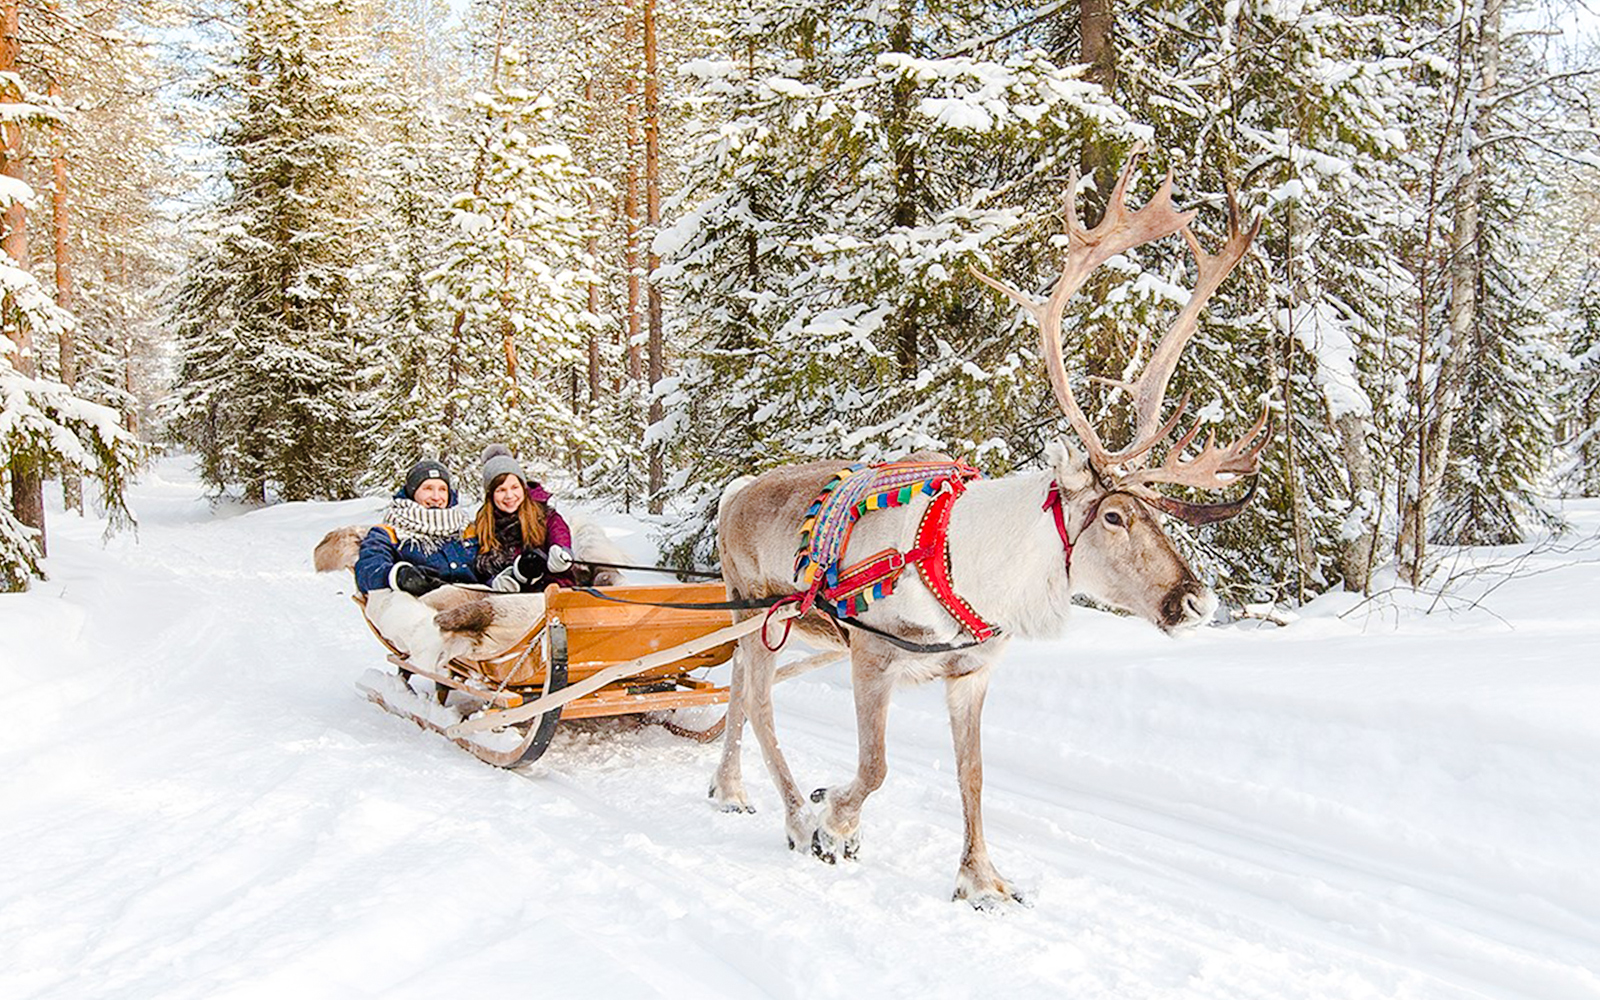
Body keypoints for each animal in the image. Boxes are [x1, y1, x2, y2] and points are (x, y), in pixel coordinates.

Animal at [708, 148, 1268, 908]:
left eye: (1156, 514)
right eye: (1114, 515)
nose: (1196, 601)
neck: (973, 569)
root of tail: (734, 493)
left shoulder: (971, 673)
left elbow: (971, 777)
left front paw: (982, 882)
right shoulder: (872, 655)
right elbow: (875, 766)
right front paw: (834, 822)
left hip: (768, 623)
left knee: (737, 687)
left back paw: (729, 788)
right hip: (755, 606)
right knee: (762, 703)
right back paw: (795, 815)